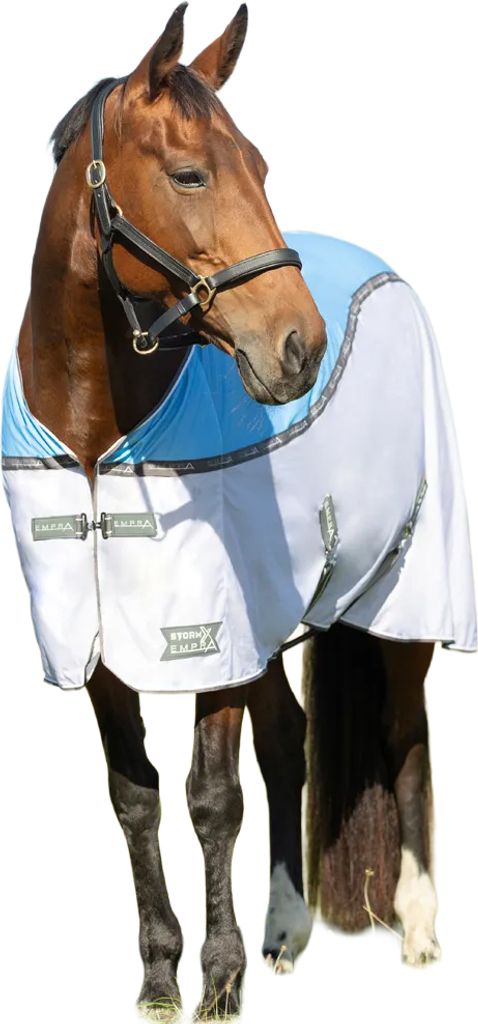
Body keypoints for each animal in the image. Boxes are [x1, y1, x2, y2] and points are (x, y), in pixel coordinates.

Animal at [2, 4, 476, 1021]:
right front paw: (159, 976)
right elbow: (136, 795)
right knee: (291, 742)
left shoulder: (208, 637)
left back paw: (418, 926)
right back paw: (285, 932)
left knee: (407, 732)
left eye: (260, 164)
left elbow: (211, 798)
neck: (101, 442)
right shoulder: (105, 648)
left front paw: (218, 980)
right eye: (190, 173)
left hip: (405, 598)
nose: (299, 347)